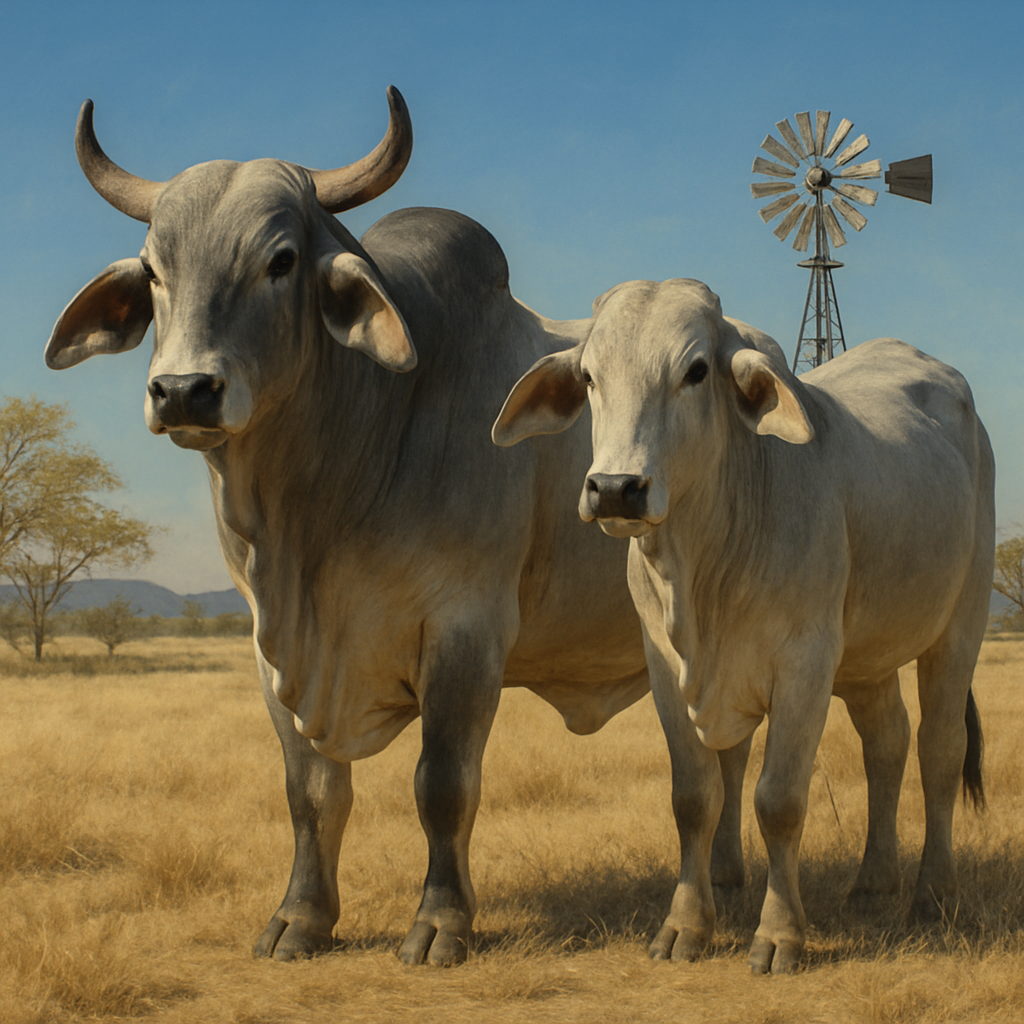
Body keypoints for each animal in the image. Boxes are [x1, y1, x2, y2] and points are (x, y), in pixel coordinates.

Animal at [43, 90, 761, 967]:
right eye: (153, 270)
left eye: (281, 260)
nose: (183, 391)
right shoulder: (273, 649)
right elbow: (311, 791)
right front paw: (300, 918)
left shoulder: (464, 631)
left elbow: (442, 786)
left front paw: (440, 923)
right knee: (727, 754)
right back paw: (724, 879)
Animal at [492, 277, 994, 973]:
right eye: (589, 376)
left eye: (697, 371)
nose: (615, 488)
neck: (706, 565)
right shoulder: (669, 668)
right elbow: (695, 797)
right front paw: (686, 927)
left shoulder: (806, 662)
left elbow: (777, 801)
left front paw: (779, 934)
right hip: (867, 658)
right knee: (887, 744)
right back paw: (873, 882)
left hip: (960, 625)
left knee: (939, 750)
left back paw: (932, 893)